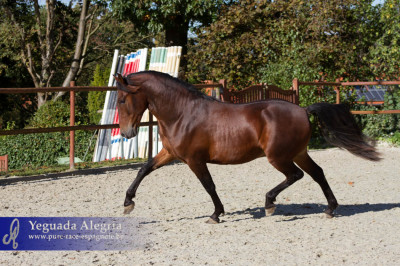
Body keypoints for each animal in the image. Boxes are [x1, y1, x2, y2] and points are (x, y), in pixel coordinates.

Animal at [113, 70, 382, 222]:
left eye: (122, 99)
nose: (126, 133)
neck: (182, 113)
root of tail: (303, 110)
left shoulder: (194, 160)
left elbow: (209, 185)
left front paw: (216, 214)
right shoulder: (170, 153)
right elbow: (144, 169)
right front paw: (128, 203)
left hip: (278, 157)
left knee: (296, 175)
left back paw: (269, 203)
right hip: (298, 153)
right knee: (317, 173)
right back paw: (330, 209)